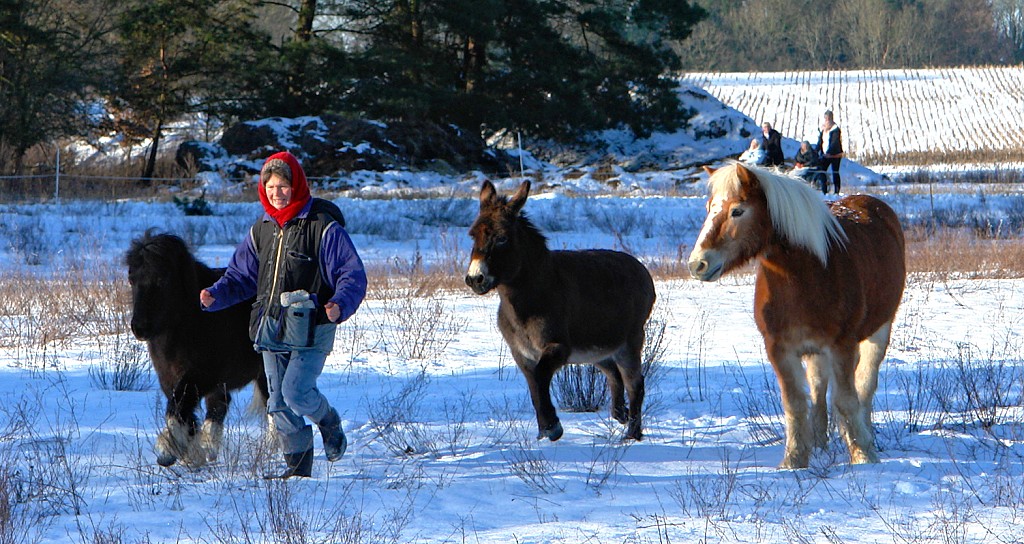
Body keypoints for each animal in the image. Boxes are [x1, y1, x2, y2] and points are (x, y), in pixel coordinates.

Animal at [125, 230, 268, 469]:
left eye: (163, 280)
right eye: (131, 279)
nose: (140, 327)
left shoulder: (201, 376)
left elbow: (178, 407)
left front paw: (170, 450)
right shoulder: (169, 378)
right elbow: (181, 410)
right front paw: (188, 452)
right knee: (219, 407)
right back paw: (210, 450)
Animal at [464, 181, 655, 440]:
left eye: (502, 238)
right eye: (473, 234)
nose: (475, 279)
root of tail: (641, 269)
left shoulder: (557, 347)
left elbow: (541, 377)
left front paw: (553, 427)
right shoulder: (521, 354)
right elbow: (534, 386)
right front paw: (543, 432)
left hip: (630, 342)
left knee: (635, 384)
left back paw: (632, 434)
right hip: (598, 349)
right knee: (613, 373)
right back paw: (619, 414)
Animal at [688, 162, 905, 469]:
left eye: (737, 211)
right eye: (709, 208)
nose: (698, 264)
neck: (806, 275)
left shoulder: (842, 346)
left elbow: (846, 400)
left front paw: (862, 455)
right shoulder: (779, 349)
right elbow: (795, 403)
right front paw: (794, 460)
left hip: (878, 331)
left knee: (864, 386)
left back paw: (865, 436)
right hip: (816, 352)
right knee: (818, 388)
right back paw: (820, 442)